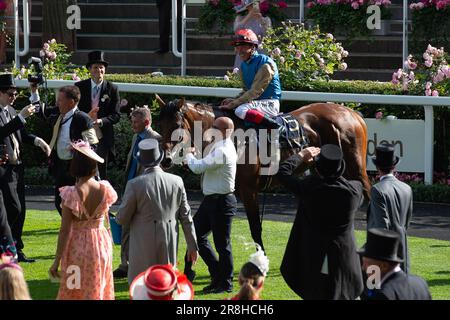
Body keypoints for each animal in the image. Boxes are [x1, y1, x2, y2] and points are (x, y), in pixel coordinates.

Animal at [155, 95, 370, 250]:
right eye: (160, 125)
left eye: (177, 126)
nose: (166, 159)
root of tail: (352, 113)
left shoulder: (249, 189)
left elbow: (255, 226)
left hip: (356, 167)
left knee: (368, 193)